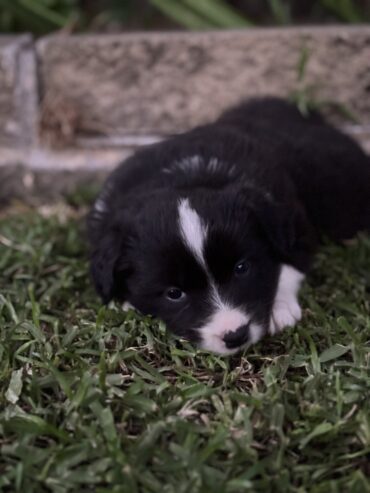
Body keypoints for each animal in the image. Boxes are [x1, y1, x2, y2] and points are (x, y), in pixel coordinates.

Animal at [88, 98, 370, 354]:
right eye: (174, 293)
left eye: (241, 268)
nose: (235, 336)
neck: (183, 178)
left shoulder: (293, 222)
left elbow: (290, 264)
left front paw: (279, 308)